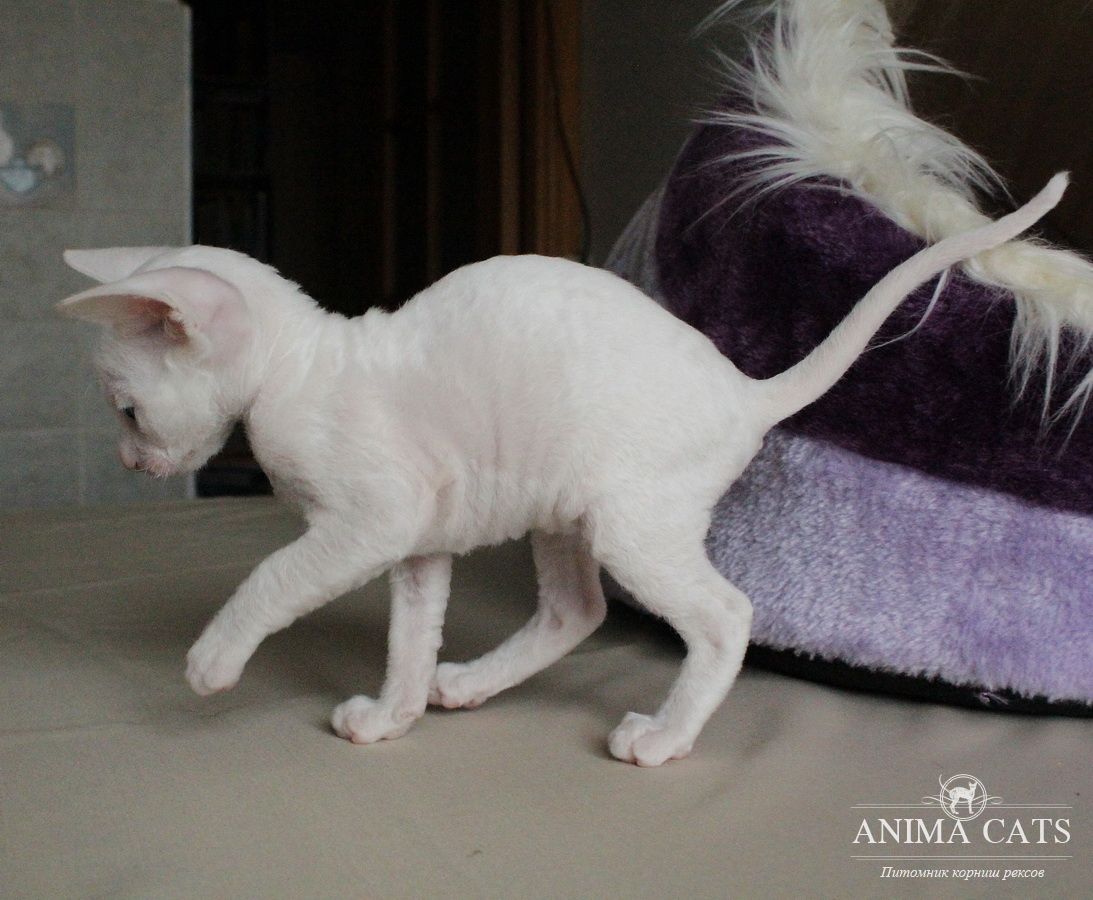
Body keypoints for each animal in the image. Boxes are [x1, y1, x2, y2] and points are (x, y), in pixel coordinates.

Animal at [58, 173, 1066, 766]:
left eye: (126, 409)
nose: (128, 458)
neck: (303, 364)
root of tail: (740, 390)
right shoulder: (416, 541)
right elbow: (407, 639)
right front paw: (392, 716)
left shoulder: (372, 521)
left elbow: (271, 575)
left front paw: (213, 661)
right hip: (557, 506)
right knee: (576, 610)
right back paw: (465, 684)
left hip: (627, 521)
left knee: (725, 615)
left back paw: (662, 736)